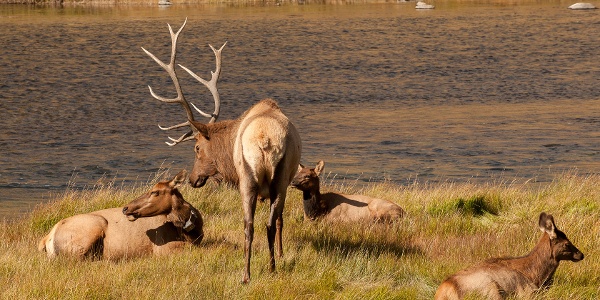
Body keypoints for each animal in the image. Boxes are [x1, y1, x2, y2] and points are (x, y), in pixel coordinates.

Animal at [143, 19, 302, 284]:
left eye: (197, 147)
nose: (192, 179)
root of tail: (265, 139)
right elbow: (279, 220)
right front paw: (281, 254)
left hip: (254, 178)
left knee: (253, 224)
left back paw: (251, 273)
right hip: (271, 178)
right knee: (263, 223)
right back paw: (265, 269)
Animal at [434, 212, 584, 298]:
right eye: (566, 243)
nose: (581, 254)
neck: (538, 276)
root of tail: (446, 290)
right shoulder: (526, 292)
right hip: (490, 289)